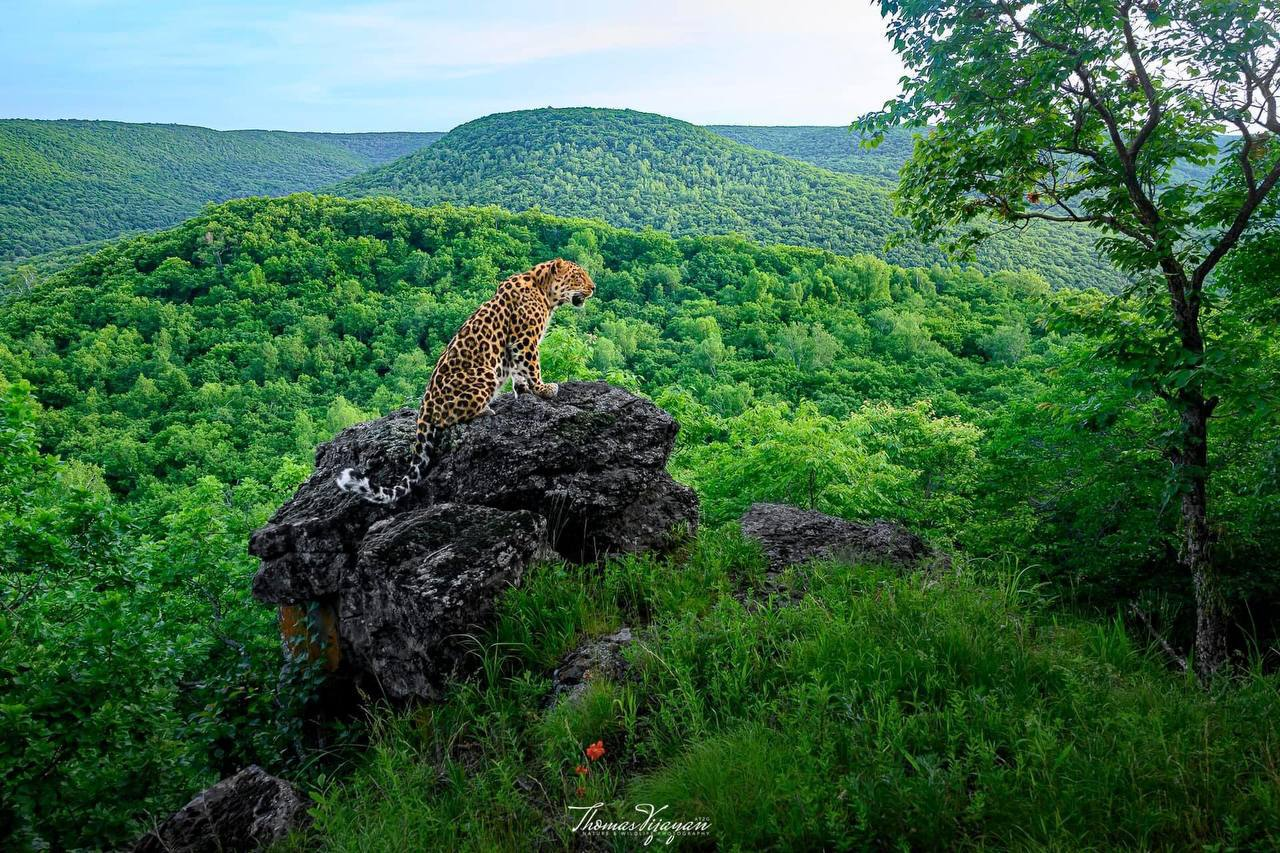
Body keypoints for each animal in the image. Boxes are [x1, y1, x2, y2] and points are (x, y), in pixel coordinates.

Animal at [340, 256, 599, 502]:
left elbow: (518, 370)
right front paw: (544, 389)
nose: (593, 287)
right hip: (485, 375)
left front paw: (523, 390)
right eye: (578, 276)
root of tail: (424, 407)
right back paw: (485, 410)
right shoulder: (525, 340)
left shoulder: (515, 345)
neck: (544, 290)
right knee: (447, 420)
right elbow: (532, 366)